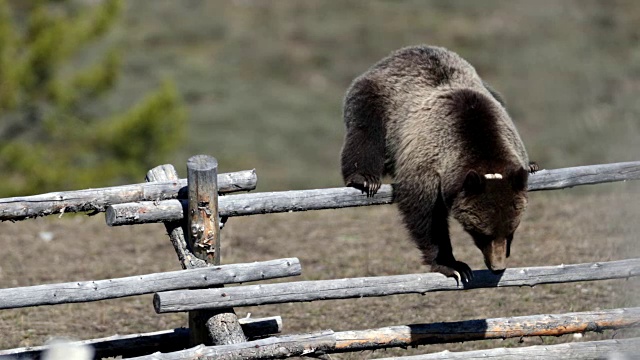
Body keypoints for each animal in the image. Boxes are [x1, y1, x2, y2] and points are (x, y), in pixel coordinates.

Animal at [340, 44, 536, 282]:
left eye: (510, 231)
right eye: (482, 233)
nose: (497, 267)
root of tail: (399, 53)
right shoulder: (428, 163)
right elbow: (426, 216)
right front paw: (454, 265)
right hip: (379, 100)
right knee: (365, 133)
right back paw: (365, 179)